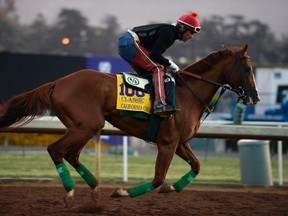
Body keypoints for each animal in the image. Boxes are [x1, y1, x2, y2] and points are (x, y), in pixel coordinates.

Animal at [0, 44, 258, 206]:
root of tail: (57, 82)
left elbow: (196, 166)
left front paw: (171, 188)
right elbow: (157, 178)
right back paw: (71, 191)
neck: (187, 95)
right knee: (56, 150)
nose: (254, 97)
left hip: (85, 127)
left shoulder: (180, 143)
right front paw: (122, 191)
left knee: (71, 155)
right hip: (85, 126)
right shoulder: (167, 143)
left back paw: (94, 187)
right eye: (247, 69)